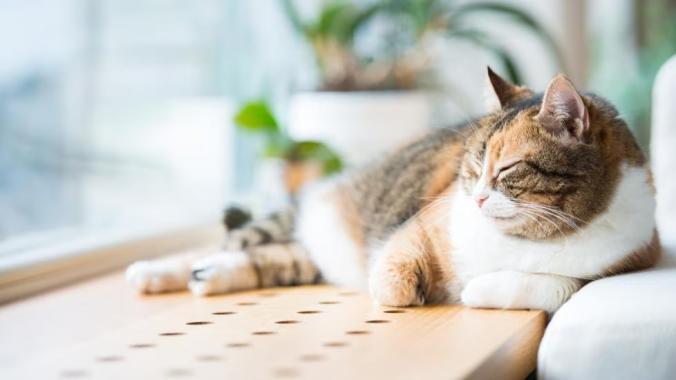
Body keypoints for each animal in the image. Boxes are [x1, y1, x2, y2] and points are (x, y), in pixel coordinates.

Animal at [127, 67, 660, 312]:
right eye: (472, 167)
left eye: (508, 168)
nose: (478, 198)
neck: (525, 240)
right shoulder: (419, 225)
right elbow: (393, 275)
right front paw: (408, 289)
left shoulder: (628, 260)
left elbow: (557, 286)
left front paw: (476, 289)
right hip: (301, 214)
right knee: (235, 241)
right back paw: (154, 272)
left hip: (304, 256)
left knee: (266, 259)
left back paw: (207, 276)